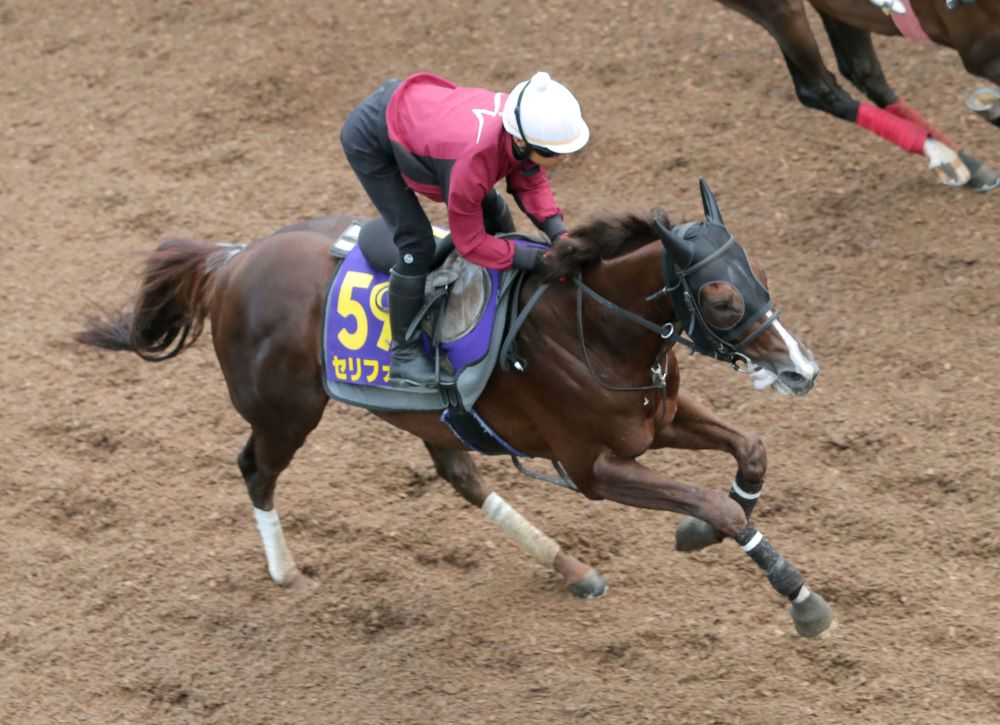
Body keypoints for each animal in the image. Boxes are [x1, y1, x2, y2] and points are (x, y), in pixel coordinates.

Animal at [74, 181, 832, 640]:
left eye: (762, 278)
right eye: (722, 301)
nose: (802, 369)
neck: (593, 328)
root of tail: (232, 261)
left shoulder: (661, 418)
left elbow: (750, 452)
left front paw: (704, 528)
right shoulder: (595, 467)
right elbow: (718, 506)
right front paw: (797, 594)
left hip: (430, 416)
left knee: (460, 476)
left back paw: (571, 567)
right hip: (286, 413)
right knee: (256, 471)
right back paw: (287, 572)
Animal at [716, 0, 1000, 189]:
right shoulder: (979, 50)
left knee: (861, 71)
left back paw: (966, 161)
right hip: (780, 10)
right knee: (818, 90)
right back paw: (942, 154)